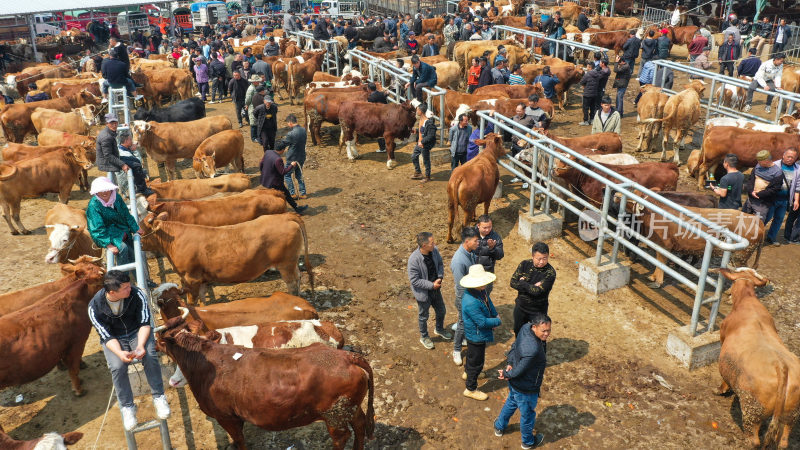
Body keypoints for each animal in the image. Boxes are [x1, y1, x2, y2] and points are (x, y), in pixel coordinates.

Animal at [139, 210, 314, 302]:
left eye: (139, 230)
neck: (173, 240)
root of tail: (285, 216)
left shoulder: (190, 278)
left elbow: (192, 300)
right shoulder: (201, 279)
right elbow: (203, 299)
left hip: (286, 264)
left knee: (292, 283)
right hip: (290, 263)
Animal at [158, 316, 376, 450]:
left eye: (162, 343)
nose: (173, 381)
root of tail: (346, 356)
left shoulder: (225, 416)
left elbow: (239, 440)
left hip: (334, 416)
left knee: (341, 437)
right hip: (349, 409)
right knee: (360, 424)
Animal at [716, 268, 796, 448]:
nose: (727, 293)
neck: (747, 299)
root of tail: (781, 366)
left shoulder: (723, 337)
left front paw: (721, 389)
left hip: (753, 410)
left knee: (754, 439)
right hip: (790, 415)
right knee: (784, 441)